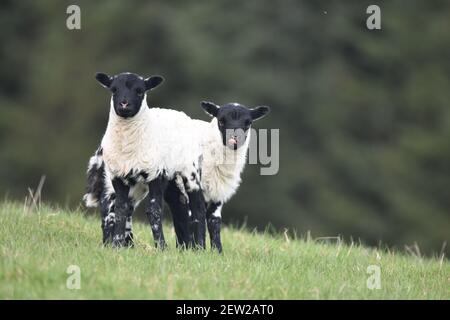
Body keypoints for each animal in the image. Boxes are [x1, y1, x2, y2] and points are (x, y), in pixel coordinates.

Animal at [85, 73, 206, 250]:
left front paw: (161, 247)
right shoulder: (118, 177)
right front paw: (116, 245)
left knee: (197, 209)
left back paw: (200, 247)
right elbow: (120, 209)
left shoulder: (156, 175)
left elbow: (154, 211)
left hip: (190, 172)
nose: (124, 104)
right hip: (149, 182)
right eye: (114, 90)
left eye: (140, 91)